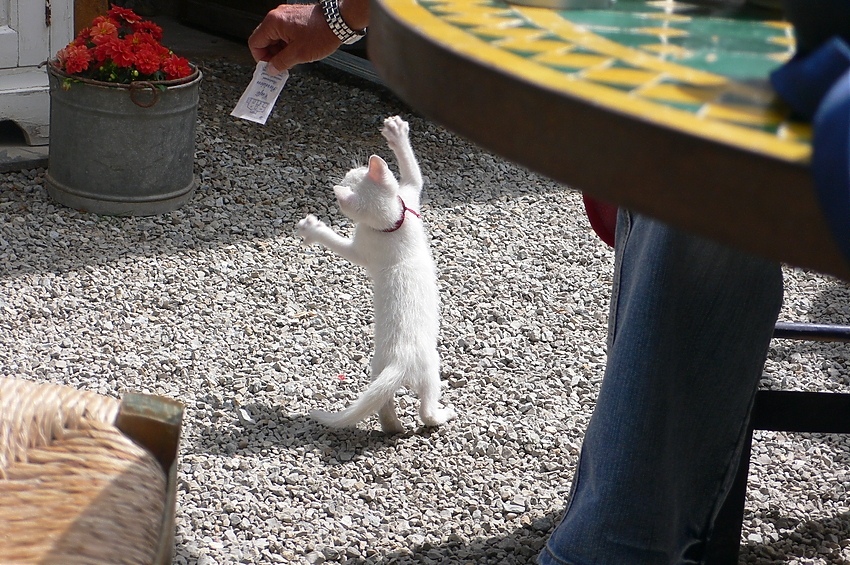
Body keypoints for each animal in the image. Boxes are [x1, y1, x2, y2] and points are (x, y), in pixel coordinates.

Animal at [298, 114, 458, 432]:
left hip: (409, 368)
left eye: (354, 173)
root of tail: (399, 362)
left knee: (412, 411)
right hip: (404, 367)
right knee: (404, 408)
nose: (343, 175)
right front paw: (397, 133)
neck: (391, 222)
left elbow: (412, 170)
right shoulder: (406, 196)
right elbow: (412, 170)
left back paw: (414, 423)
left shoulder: (404, 201)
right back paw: (406, 425)